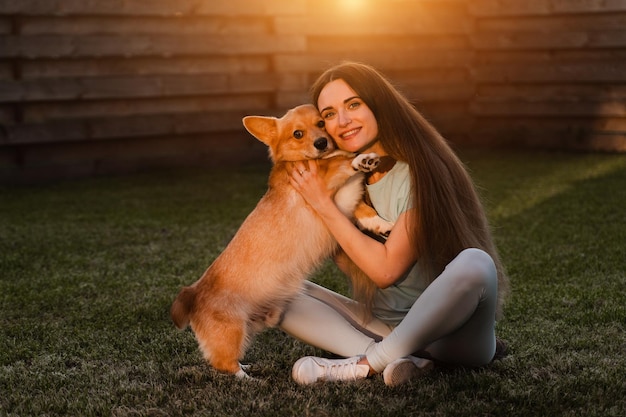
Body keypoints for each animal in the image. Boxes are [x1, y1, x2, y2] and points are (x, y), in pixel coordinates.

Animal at [168, 103, 388, 376]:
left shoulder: (342, 203)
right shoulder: (322, 179)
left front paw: (383, 224)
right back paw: (247, 378)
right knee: (223, 364)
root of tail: (192, 293)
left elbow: (363, 210)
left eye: (322, 122)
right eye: (297, 134)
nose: (322, 143)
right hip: (231, 333)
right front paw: (360, 159)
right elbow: (340, 163)